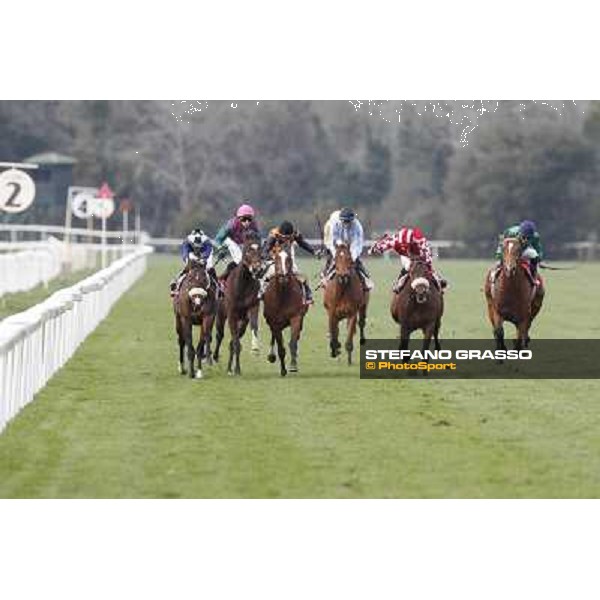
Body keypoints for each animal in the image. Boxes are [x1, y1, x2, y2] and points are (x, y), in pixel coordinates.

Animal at [214, 234, 264, 376]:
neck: (243, 284)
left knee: (233, 340)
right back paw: (215, 358)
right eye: (247, 250)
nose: (258, 270)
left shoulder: (252, 308)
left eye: (260, 251)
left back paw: (229, 368)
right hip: (220, 316)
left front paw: (255, 348)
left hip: (242, 321)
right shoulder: (232, 314)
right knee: (220, 335)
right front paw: (236, 369)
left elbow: (254, 326)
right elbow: (235, 342)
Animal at [264, 239, 310, 376]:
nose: (283, 276)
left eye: (289, 258)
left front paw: (293, 365)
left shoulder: (296, 317)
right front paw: (283, 370)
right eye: (276, 258)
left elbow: (293, 343)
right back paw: (271, 355)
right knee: (273, 336)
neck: (282, 296)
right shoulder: (274, 322)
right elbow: (281, 347)